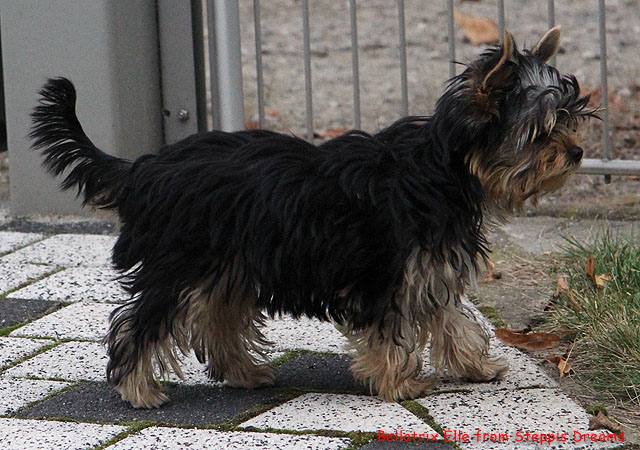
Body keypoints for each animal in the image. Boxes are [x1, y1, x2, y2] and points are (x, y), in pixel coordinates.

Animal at [30, 27, 594, 408]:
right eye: (541, 131)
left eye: (570, 119)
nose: (577, 152)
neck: (445, 167)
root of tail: (142, 168)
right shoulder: (388, 272)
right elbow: (393, 329)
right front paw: (400, 383)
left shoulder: (427, 268)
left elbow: (453, 319)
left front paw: (477, 365)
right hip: (181, 262)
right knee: (142, 322)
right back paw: (139, 389)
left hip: (227, 263)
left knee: (217, 317)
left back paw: (245, 372)